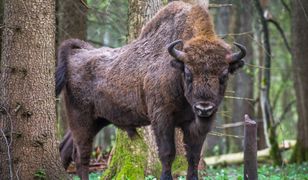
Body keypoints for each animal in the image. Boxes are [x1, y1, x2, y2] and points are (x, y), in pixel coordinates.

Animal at [56, 1, 247, 180]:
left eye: (224, 74)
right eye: (188, 73)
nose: (204, 107)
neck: (175, 69)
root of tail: (77, 54)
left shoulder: (196, 124)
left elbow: (193, 156)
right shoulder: (162, 118)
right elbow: (167, 153)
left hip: (98, 120)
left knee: (66, 148)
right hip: (81, 119)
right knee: (81, 155)